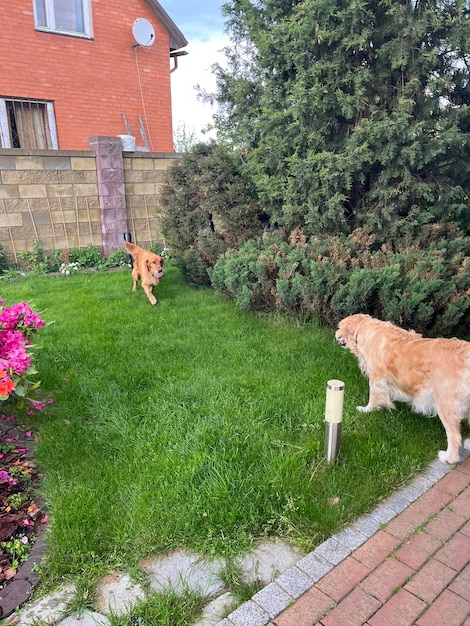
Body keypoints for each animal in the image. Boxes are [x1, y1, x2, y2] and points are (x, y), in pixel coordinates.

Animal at [336, 312, 470, 464]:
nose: (335, 334)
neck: (363, 328)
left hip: (445, 404)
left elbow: (373, 397)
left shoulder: (376, 377)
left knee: (454, 436)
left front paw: (367, 410)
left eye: (339, 327)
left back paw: (448, 457)